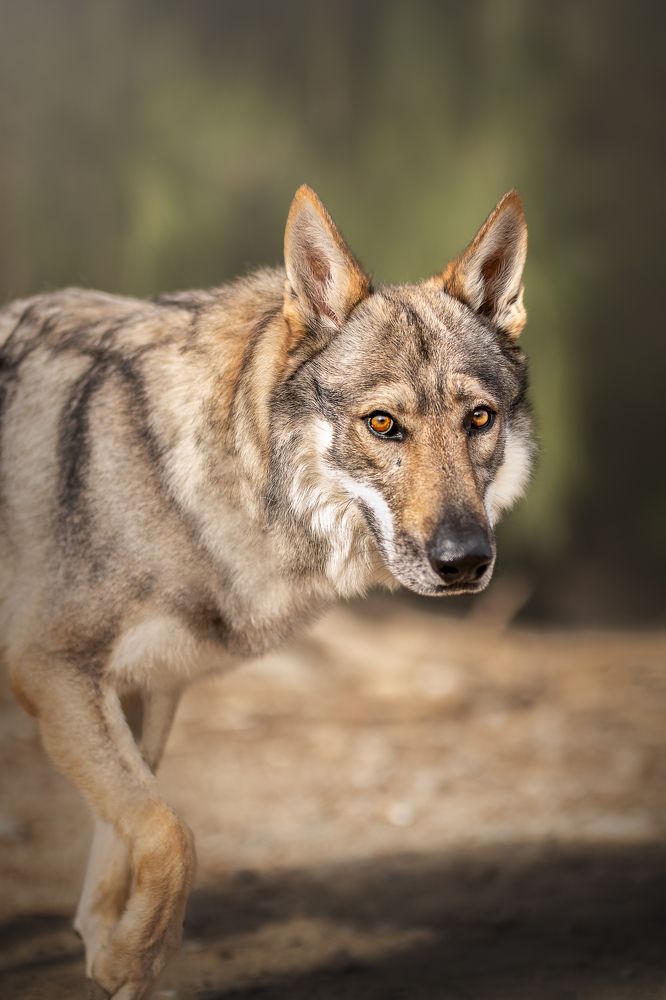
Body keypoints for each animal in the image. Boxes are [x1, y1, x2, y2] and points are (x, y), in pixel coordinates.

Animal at [0, 185, 533, 997]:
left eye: (479, 419)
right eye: (384, 424)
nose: (465, 561)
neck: (180, 474)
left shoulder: (148, 685)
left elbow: (126, 838)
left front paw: (113, 952)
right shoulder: (49, 670)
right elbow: (172, 833)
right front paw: (136, 954)